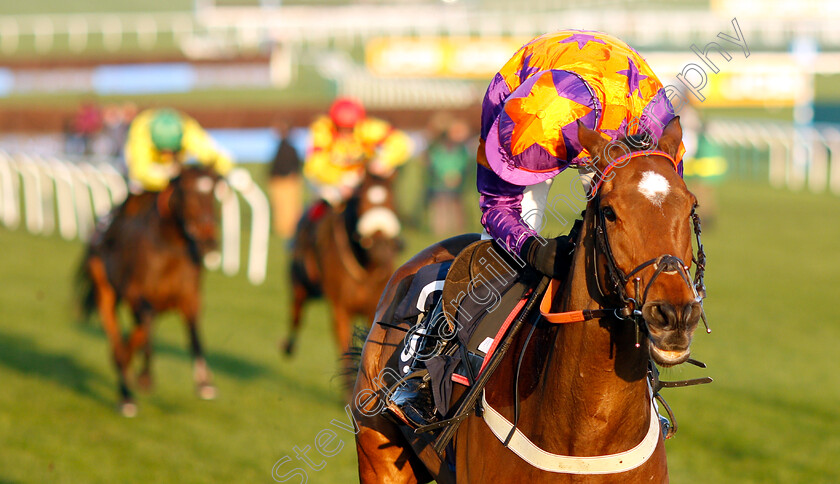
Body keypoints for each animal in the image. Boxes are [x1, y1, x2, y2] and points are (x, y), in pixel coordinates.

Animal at [77, 165, 221, 416]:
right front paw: (135, 378)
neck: (170, 245)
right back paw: (126, 395)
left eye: (213, 192)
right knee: (118, 336)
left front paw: (204, 381)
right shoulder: (137, 295)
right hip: (104, 290)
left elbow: (194, 333)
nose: (210, 242)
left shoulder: (189, 297)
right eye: (187, 191)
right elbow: (138, 332)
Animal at [288, 170, 402, 364]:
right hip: (300, 283)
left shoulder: (374, 308)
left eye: (392, 202)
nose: (380, 249)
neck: (366, 269)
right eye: (363, 203)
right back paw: (288, 346)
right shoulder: (340, 308)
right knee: (297, 313)